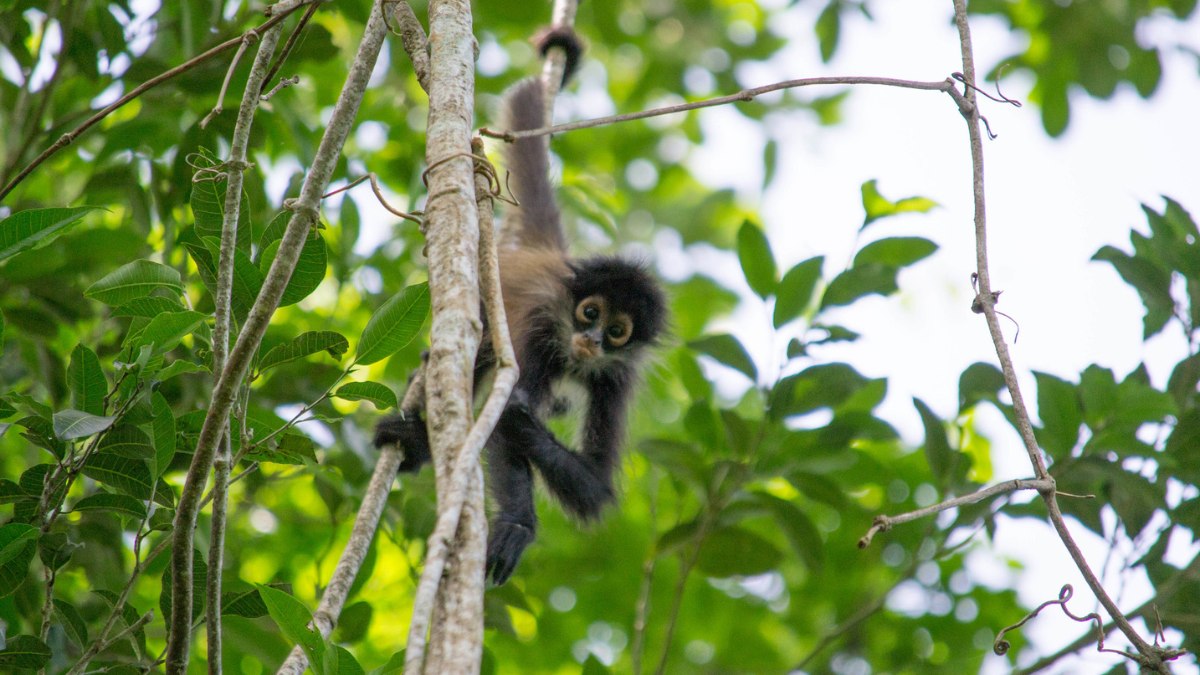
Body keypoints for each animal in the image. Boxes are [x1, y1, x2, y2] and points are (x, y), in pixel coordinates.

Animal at [374, 28, 667, 581]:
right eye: (590, 313)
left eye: (617, 330)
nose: (591, 339)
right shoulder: (534, 327)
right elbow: (500, 426)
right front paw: (517, 523)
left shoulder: (618, 376)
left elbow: (593, 487)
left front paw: (522, 416)